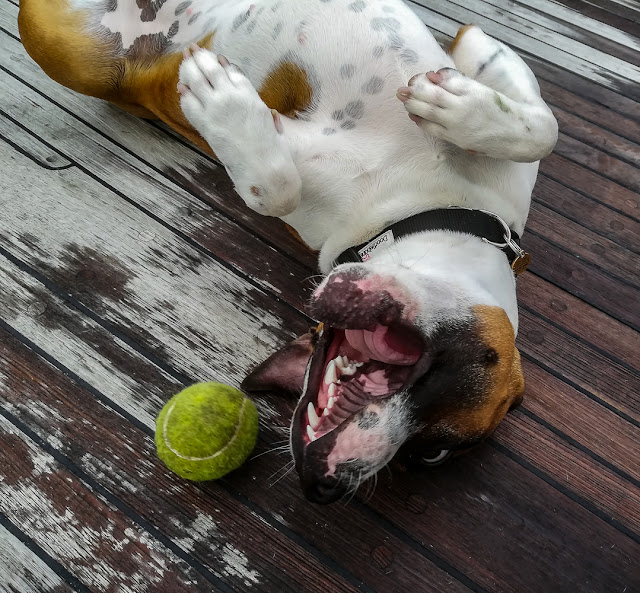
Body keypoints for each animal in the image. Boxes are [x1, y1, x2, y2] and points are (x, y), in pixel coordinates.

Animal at [18, 0, 556, 502]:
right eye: (477, 360)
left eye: (431, 455)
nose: (328, 485)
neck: (426, 204)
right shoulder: (487, 71)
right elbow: (541, 128)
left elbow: (274, 188)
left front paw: (227, 110)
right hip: (71, 51)